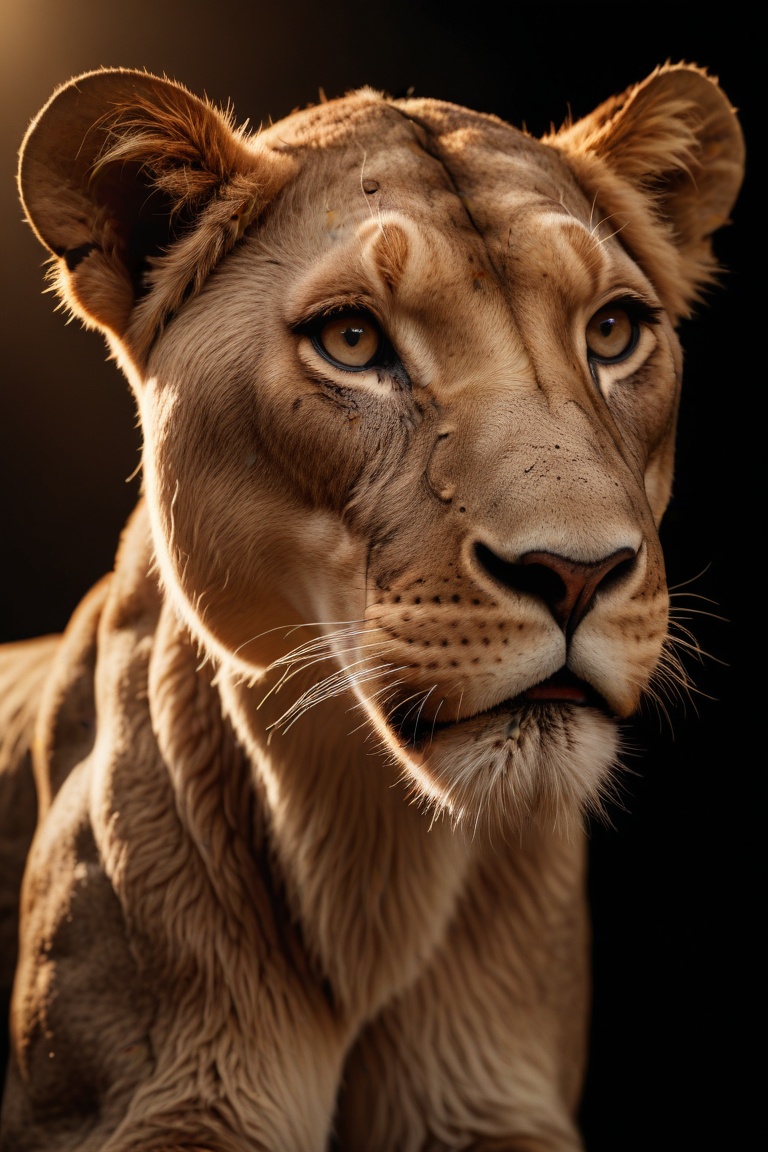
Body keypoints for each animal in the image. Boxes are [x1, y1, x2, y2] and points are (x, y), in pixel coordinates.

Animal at [0, 64, 743, 1151]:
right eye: (352, 341)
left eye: (612, 331)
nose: (576, 573)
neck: (376, 861)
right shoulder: (140, 1109)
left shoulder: (495, 1098)